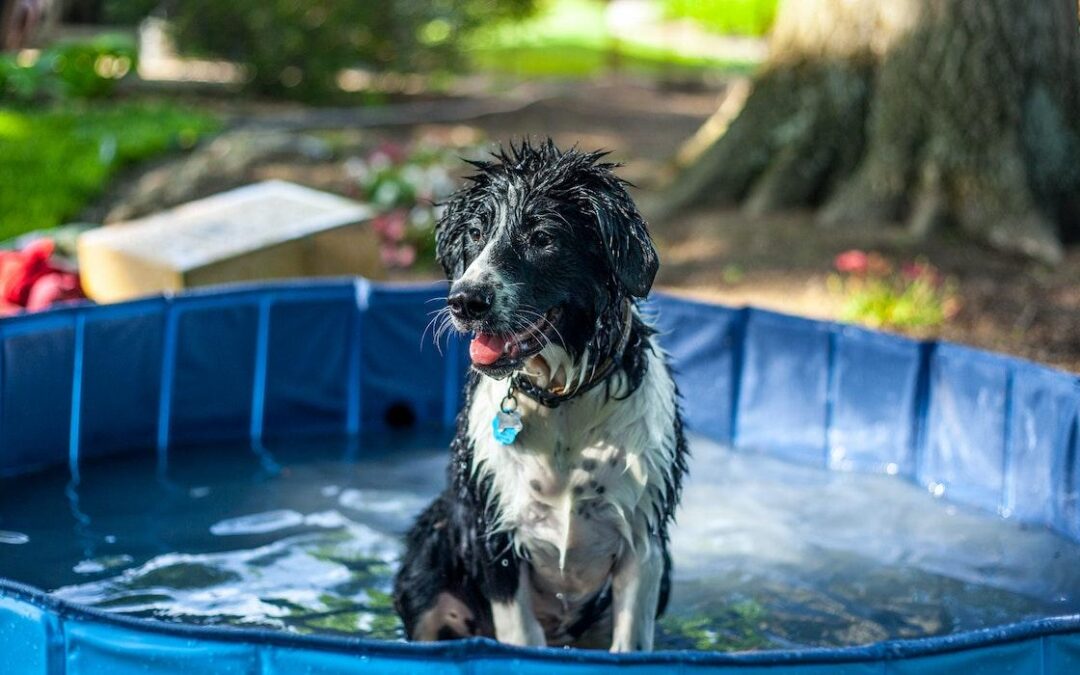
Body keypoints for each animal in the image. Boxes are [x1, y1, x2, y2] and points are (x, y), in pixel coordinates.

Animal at [393, 139, 686, 652]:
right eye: (476, 232)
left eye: (543, 238)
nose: (464, 301)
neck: (561, 399)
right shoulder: (494, 536)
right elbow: (521, 636)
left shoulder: (644, 542)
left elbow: (630, 641)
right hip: (429, 560)